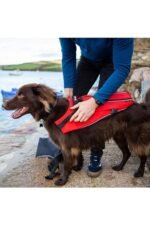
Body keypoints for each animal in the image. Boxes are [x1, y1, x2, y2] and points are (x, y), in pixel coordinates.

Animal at [2, 83, 150, 185]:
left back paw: (139, 172)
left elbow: (66, 164)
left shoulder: (66, 146)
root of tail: (141, 106)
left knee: (143, 155)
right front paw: (78, 167)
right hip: (118, 136)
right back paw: (119, 167)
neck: (51, 111)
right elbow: (79, 156)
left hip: (135, 137)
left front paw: (63, 180)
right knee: (127, 153)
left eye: (21, 95)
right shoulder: (74, 143)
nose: (3, 105)